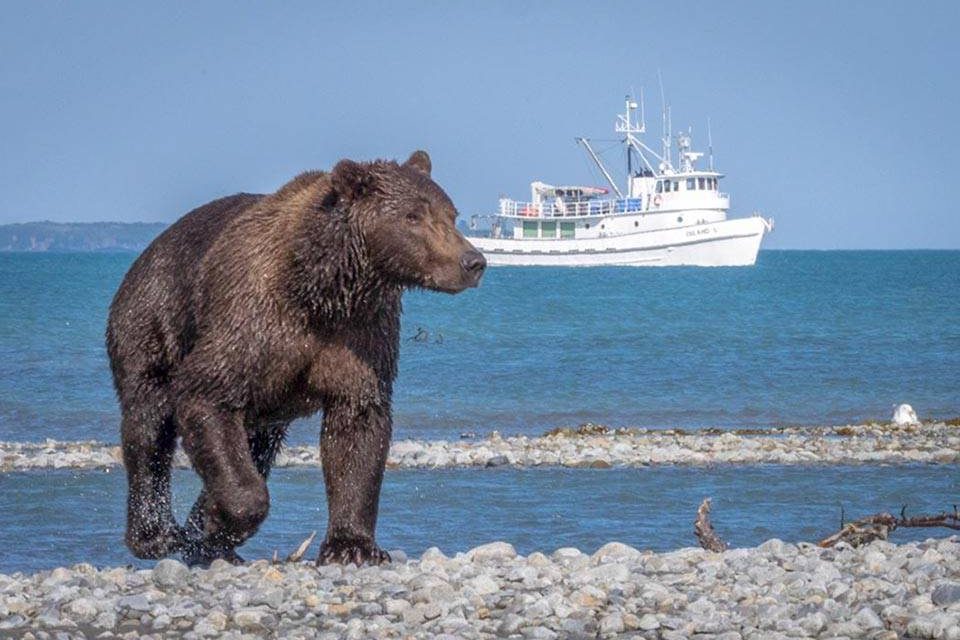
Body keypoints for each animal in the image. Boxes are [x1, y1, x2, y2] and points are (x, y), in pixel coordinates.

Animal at [106, 150, 485, 566]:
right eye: (413, 216)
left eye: (451, 214)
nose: (472, 261)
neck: (322, 291)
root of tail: (148, 252)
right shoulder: (252, 321)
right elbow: (206, 392)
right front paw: (222, 518)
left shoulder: (362, 335)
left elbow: (357, 428)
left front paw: (352, 546)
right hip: (152, 319)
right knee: (150, 424)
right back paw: (156, 534)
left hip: (264, 408)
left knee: (256, 445)